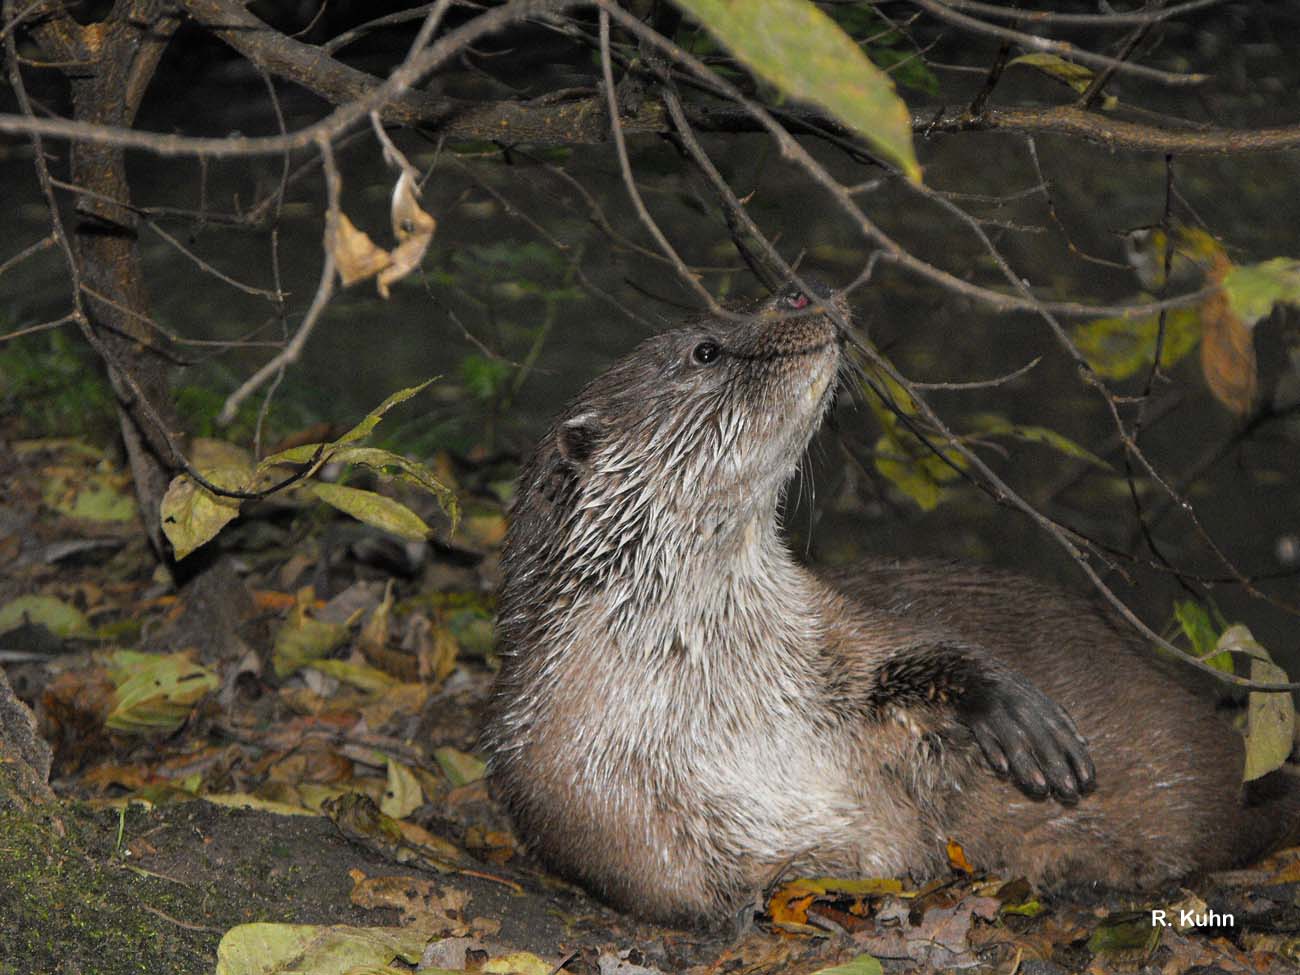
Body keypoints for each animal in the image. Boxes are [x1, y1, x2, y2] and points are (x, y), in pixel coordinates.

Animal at [483, 284, 1294, 930]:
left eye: (737, 307)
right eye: (705, 350)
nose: (798, 294)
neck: (720, 689)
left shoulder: (833, 633)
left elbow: (915, 656)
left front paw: (1013, 716)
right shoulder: (574, 786)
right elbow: (669, 881)